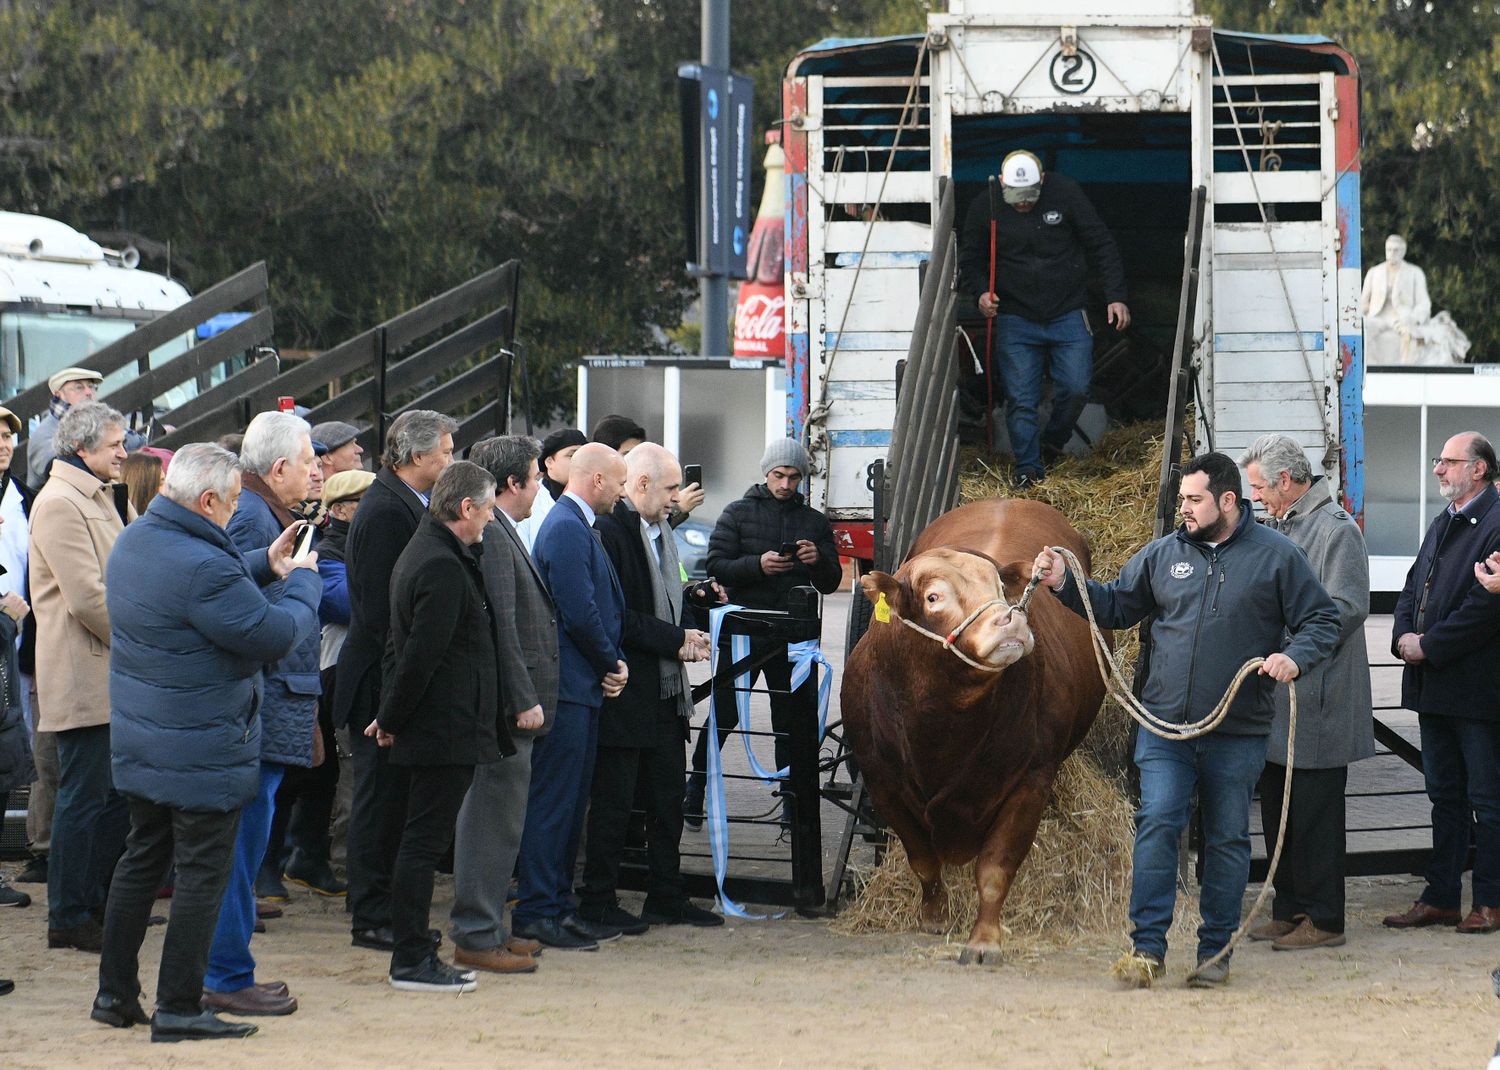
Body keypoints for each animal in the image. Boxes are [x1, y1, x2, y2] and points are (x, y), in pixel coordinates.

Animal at [840, 498, 1110, 960]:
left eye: (1002, 589)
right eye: (934, 596)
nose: (1011, 621)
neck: (942, 725)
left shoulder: (1029, 781)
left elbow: (995, 869)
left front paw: (985, 940)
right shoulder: (882, 782)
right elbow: (922, 859)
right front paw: (933, 916)